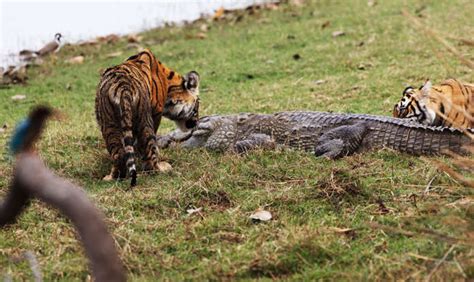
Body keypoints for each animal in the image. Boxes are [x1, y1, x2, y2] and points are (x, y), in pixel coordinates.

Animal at [96, 49, 200, 186]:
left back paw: (112, 177)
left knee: (118, 154)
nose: (197, 123)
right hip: (145, 120)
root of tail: (123, 88)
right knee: (150, 153)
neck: (169, 85)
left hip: (109, 124)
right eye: (197, 107)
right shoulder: (156, 113)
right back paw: (161, 168)